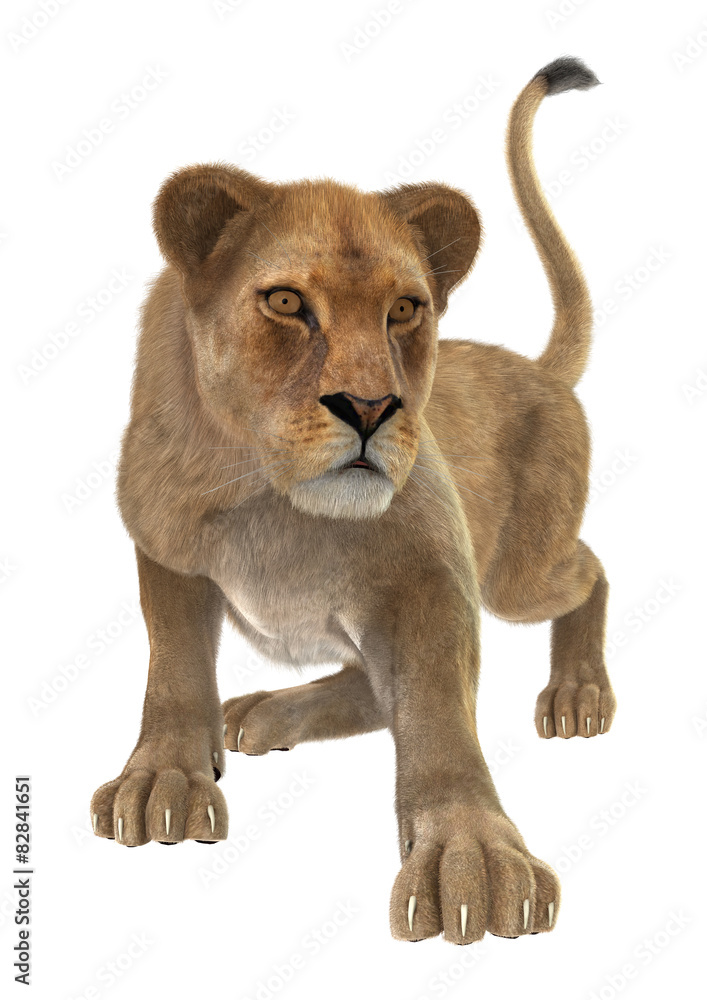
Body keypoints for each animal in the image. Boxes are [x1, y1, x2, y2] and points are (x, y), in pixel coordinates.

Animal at [90, 56, 616, 944]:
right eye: (285, 302)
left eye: (404, 309)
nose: (370, 407)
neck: (274, 504)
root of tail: (536, 369)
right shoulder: (165, 545)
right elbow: (174, 668)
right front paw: (164, 778)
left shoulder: (434, 583)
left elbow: (438, 719)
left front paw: (470, 863)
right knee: (369, 685)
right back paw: (260, 712)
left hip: (518, 577)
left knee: (588, 570)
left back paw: (577, 693)